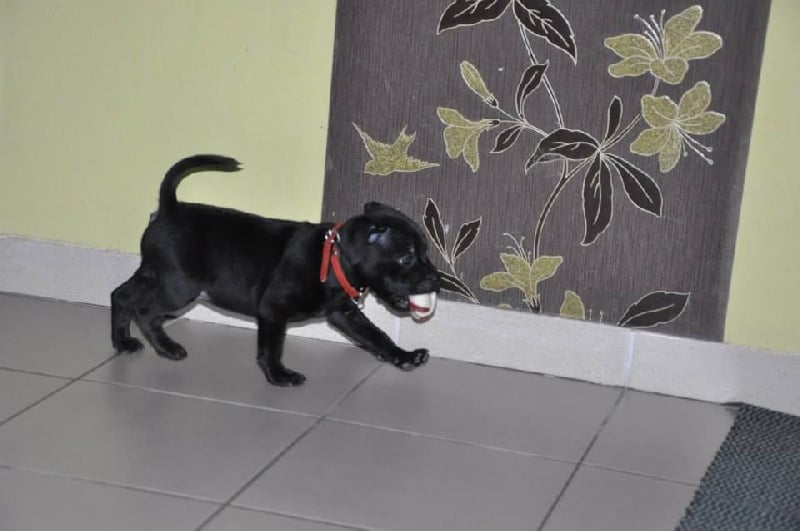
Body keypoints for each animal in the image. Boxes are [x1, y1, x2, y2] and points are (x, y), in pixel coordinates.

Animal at [111, 155, 440, 386]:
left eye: (425, 253)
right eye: (407, 258)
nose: (437, 280)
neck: (333, 259)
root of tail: (169, 208)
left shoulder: (344, 314)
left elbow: (375, 335)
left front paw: (403, 356)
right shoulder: (273, 310)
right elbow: (272, 347)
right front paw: (279, 376)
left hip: (157, 275)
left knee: (121, 295)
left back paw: (123, 342)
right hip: (179, 288)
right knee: (146, 311)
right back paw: (166, 347)